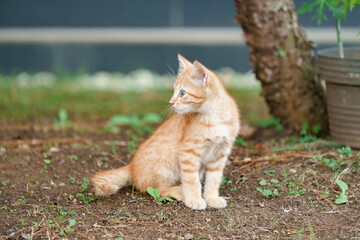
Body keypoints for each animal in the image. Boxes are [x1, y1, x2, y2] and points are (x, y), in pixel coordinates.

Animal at [91, 54, 240, 208]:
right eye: (174, 91)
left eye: (182, 93)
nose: (171, 102)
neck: (215, 117)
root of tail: (131, 167)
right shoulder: (188, 152)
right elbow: (191, 180)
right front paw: (194, 199)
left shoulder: (220, 154)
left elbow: (214, 179)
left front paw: (212, 198)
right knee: (155, 189)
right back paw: (180, 191)